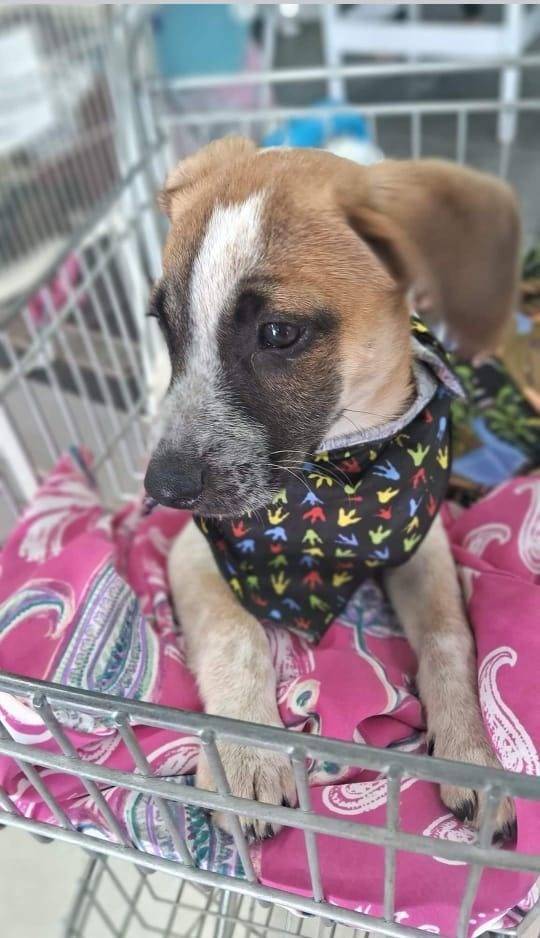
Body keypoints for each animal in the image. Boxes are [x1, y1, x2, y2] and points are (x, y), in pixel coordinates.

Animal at [144, 137, 519, 841]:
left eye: (278, 333)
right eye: (164, 325)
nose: (161, 489)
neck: (336, 475)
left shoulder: (420, 542)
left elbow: (449, 637)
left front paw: (471, 754)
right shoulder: (193, 549)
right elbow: (236, 635)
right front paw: (247, 755)